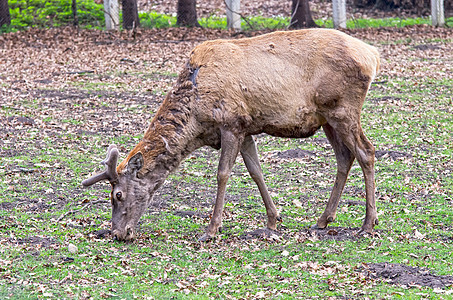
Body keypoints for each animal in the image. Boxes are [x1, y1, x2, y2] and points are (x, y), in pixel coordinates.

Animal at [81, 28, 378, 241]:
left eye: (118, 195)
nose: (118, 233)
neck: (197, 120)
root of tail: (372, 55)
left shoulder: (231, 123)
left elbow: (223, 173)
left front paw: (211, 230)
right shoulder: (246, 130)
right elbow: (256, 171)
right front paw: (273, 221)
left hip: (343, 109)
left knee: (366, 151)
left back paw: (368, 224)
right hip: (328, 118)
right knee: (344, 157)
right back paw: (323, 219)